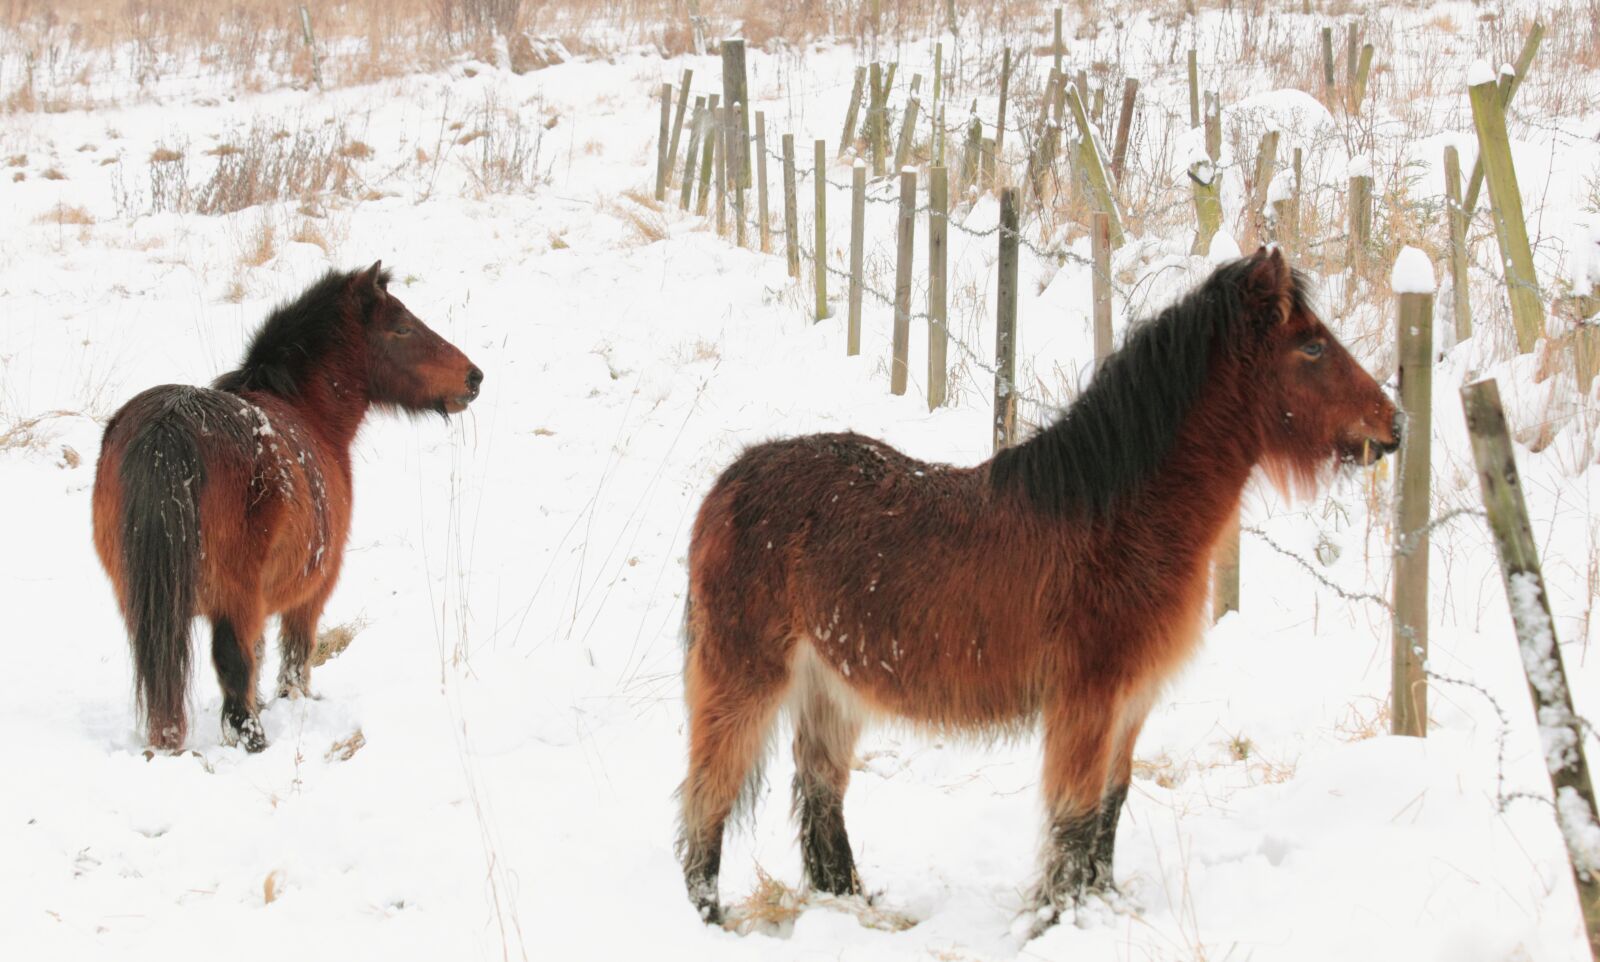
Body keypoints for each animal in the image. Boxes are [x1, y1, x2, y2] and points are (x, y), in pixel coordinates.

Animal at [91, 262, 482, 754]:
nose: (473, 377)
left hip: (140, 599)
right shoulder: (312, 589)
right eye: (402, 327)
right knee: (232, 668)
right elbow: (292, 656)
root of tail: (169, 426)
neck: (308, 411)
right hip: (234, 597)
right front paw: (293, 701)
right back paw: (253, 740)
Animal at [675, 247, 1400, 934]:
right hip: (745, 679)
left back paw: (855, 905)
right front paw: (1060, 918)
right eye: (1312, 347)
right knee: (707, 793)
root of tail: (728, 483)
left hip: (831, 687)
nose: (1395, 425)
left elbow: (1111, 807)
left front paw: (1100, 907)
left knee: (820, 796)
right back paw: (710, 916)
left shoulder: (1130, 703)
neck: (1118, 516)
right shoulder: (1088, 700)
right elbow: (1074, 816)